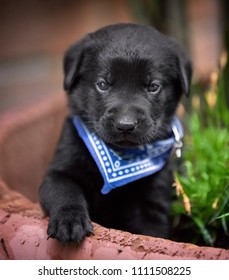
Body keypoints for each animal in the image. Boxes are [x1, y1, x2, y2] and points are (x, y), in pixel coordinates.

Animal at [39, 24, 191, 243]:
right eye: (102, 84)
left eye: (153, 87)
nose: (125, 125)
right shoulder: (59, 169)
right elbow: (64, 189)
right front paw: (69, 220)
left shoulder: (153, 196)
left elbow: (151, 230)